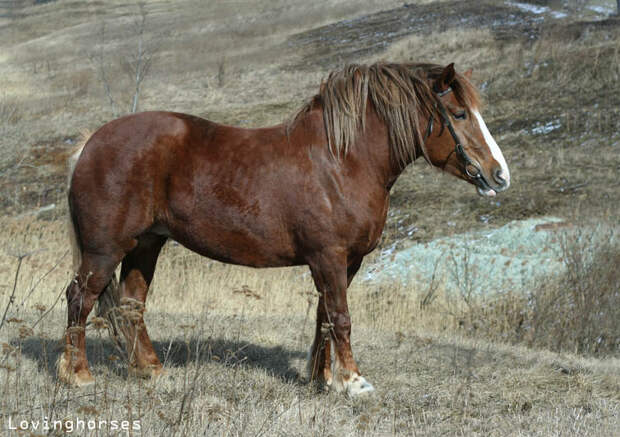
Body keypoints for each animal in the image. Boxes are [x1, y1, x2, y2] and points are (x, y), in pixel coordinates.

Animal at [58, 62, 512, 396]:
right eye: (459, 114)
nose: (499, 174)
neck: (343, 160)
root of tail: (91, 142)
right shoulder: (329, 257)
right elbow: (341, 317)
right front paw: (354, 382)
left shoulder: (344, 262)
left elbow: (325, 316)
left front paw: (322, 379)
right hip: (105, 250)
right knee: (81, 298)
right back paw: (78, 375)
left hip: (147, 244)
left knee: (131, 304)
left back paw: (150, 370)